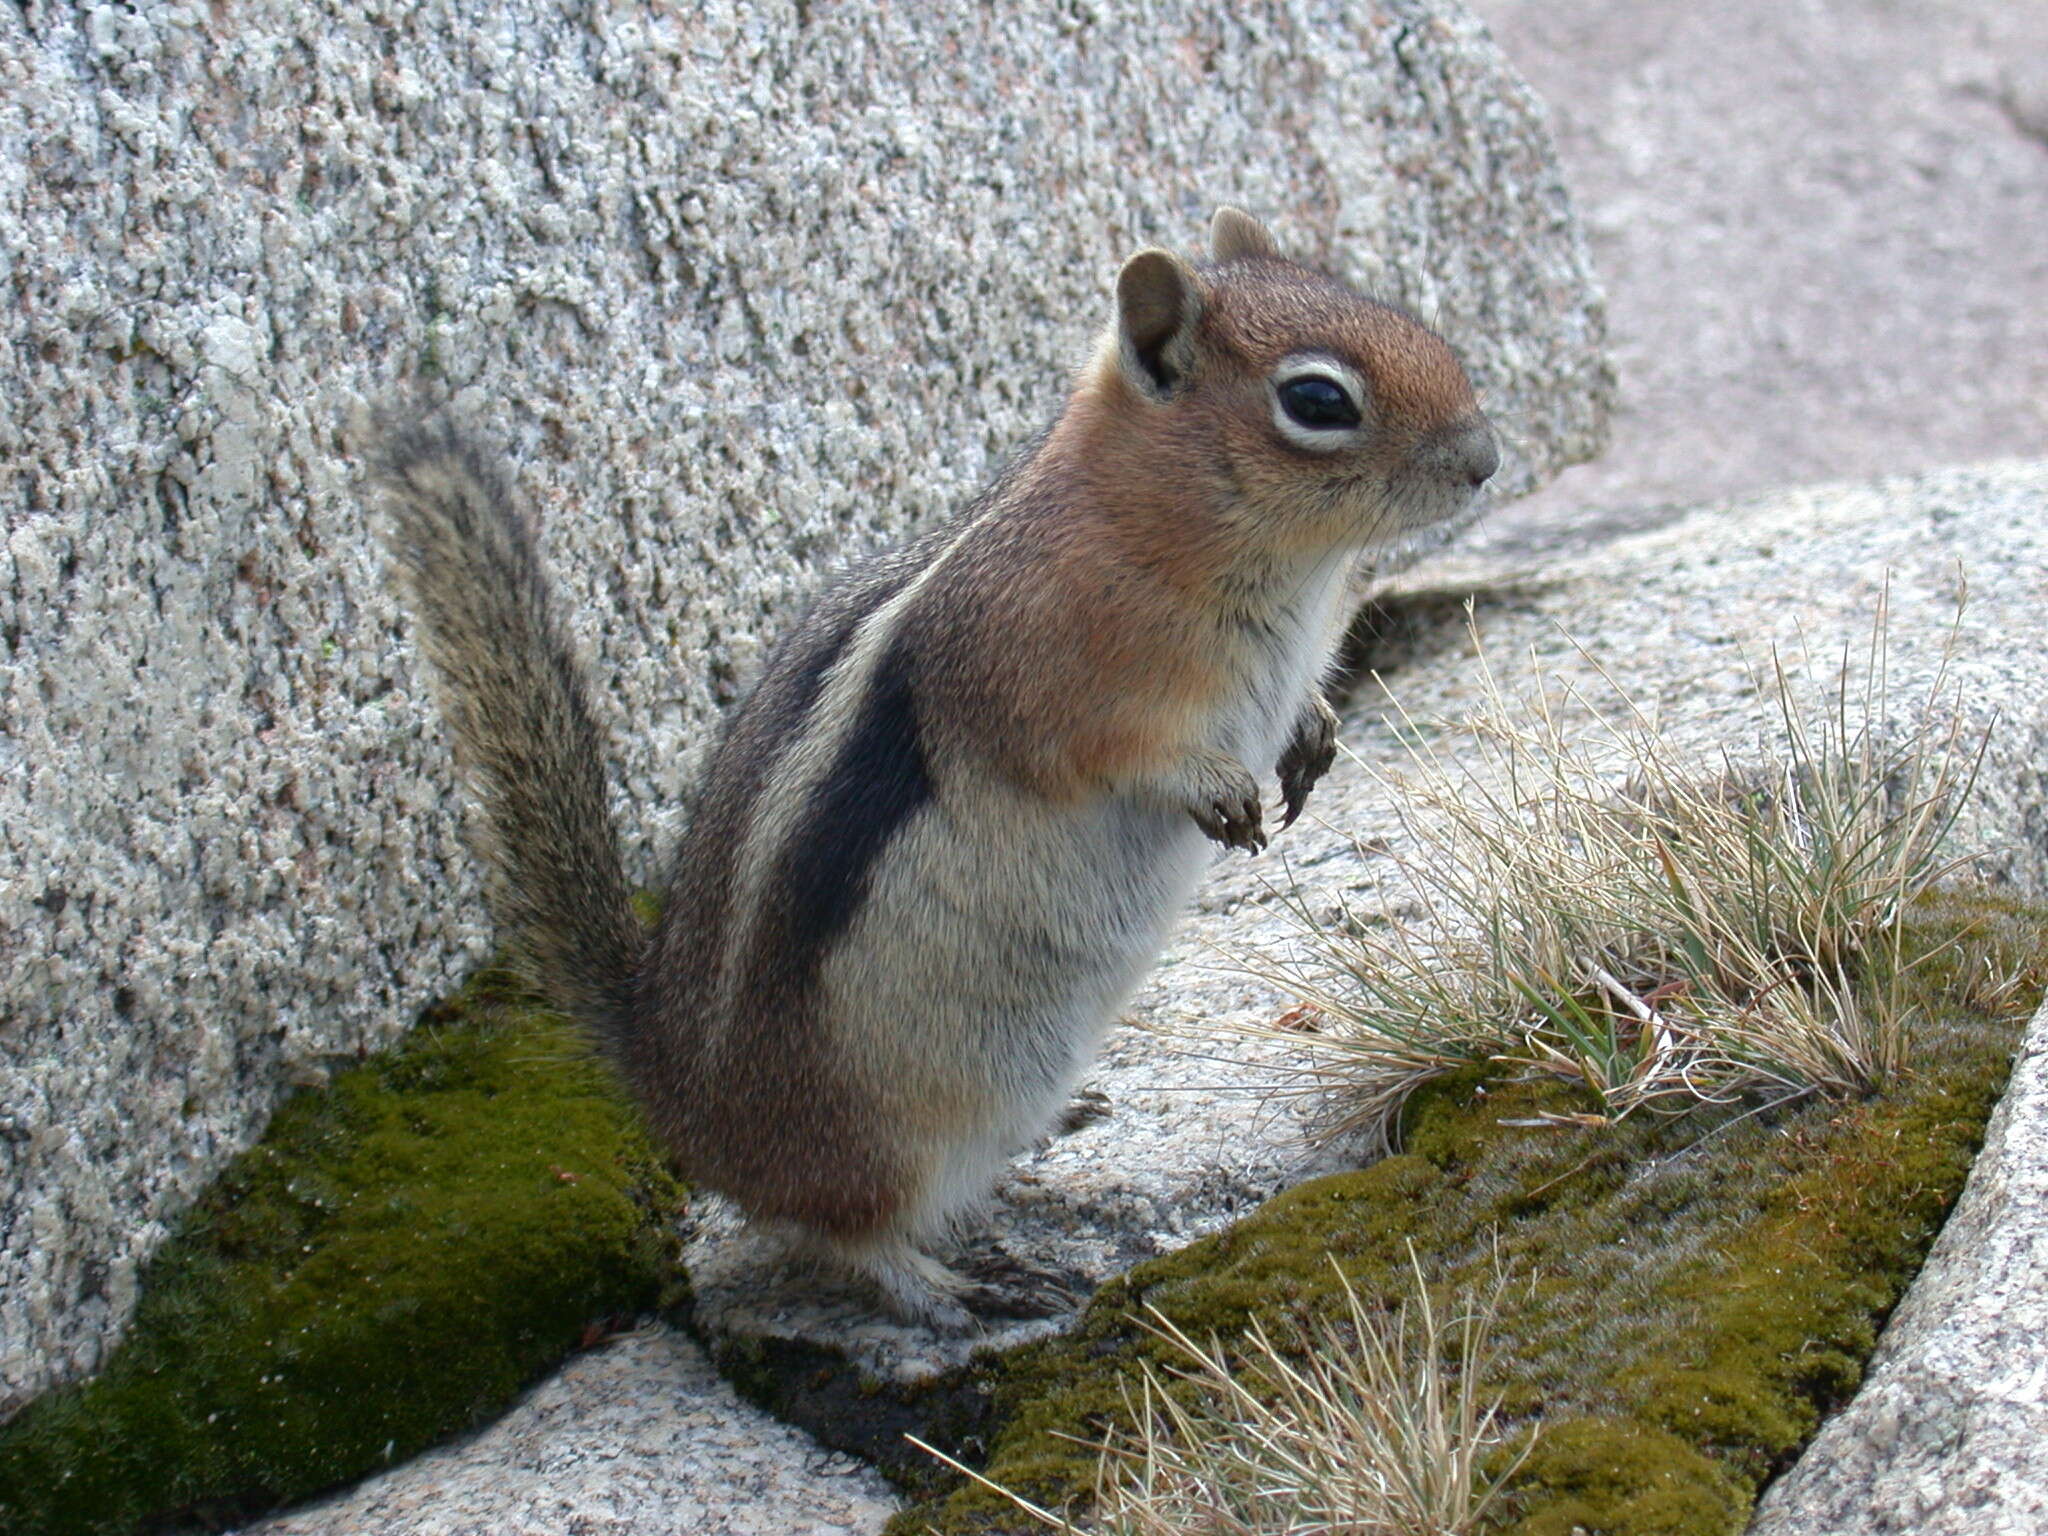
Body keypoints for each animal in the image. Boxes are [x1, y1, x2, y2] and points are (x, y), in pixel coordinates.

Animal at [372, 210, 1490, 1327]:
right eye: (1317, 401)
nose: (1483, 460)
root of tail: (663, 1081)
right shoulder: (1041, 673)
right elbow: (1109, 754)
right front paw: (1215, 787)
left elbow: (1299, 709)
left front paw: (1311, 736)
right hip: (885, 1126)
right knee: (834, 1229)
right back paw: (953, 1285)